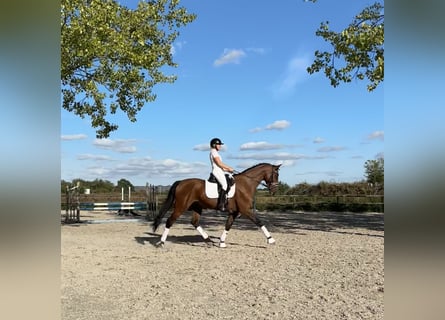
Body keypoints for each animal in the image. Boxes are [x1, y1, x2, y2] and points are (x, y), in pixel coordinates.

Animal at [151, 162, 280, 248]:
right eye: (276, 174)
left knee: (194, 222)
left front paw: (221, 242)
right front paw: (271, 240)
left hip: (197, 207)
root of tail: (180, 182)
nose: (274, 190)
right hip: (180, 207)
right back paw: (161, 242)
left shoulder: (235, 212)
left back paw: (208, 240)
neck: (246, 184)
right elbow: (259, 222)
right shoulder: (245, 210)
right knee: (170, 221)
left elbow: (228, 225)